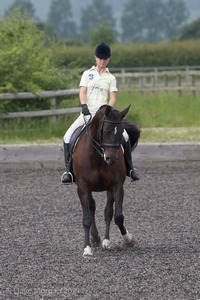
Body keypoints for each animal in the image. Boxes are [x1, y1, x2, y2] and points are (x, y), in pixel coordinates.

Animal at [72, 104, 139, 256]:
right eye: (106, 130)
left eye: (121, 132)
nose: (111, 159)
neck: (98, 157)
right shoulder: (83, 187)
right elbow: (86, 218)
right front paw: (87, 249)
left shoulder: (117, 186)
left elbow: (118, 216)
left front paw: (128, 239)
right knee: (92, 208)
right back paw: (95, 238)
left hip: (109, 189)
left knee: (107, 212)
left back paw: (106, 241)